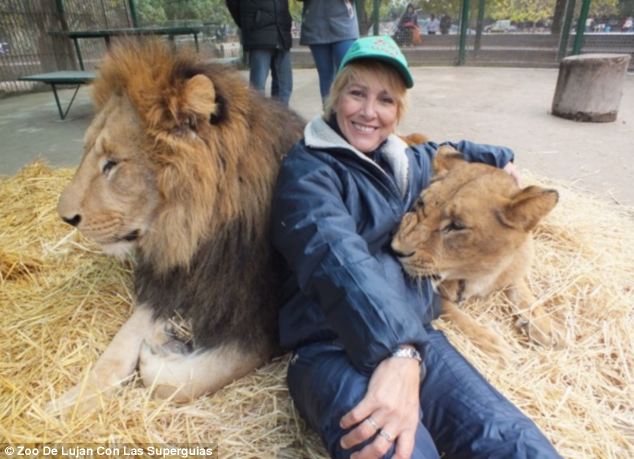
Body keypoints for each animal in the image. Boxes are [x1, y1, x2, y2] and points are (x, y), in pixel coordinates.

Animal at [51, 40, 304, 414]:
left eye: (113, 163)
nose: (65, 216)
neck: (195, 237)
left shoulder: (262, 320)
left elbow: (182, 381)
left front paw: (160, 351)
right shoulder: (170, 282)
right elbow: (116, 350)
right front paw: (69, 404)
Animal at [390, 146, 556, 356]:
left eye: (456, 225)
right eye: (420, 203)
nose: (395, 250)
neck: (479, 273)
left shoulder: (512, 266)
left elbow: (520, 287)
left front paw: (543, 325)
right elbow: (450, 310)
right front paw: (495, 344)